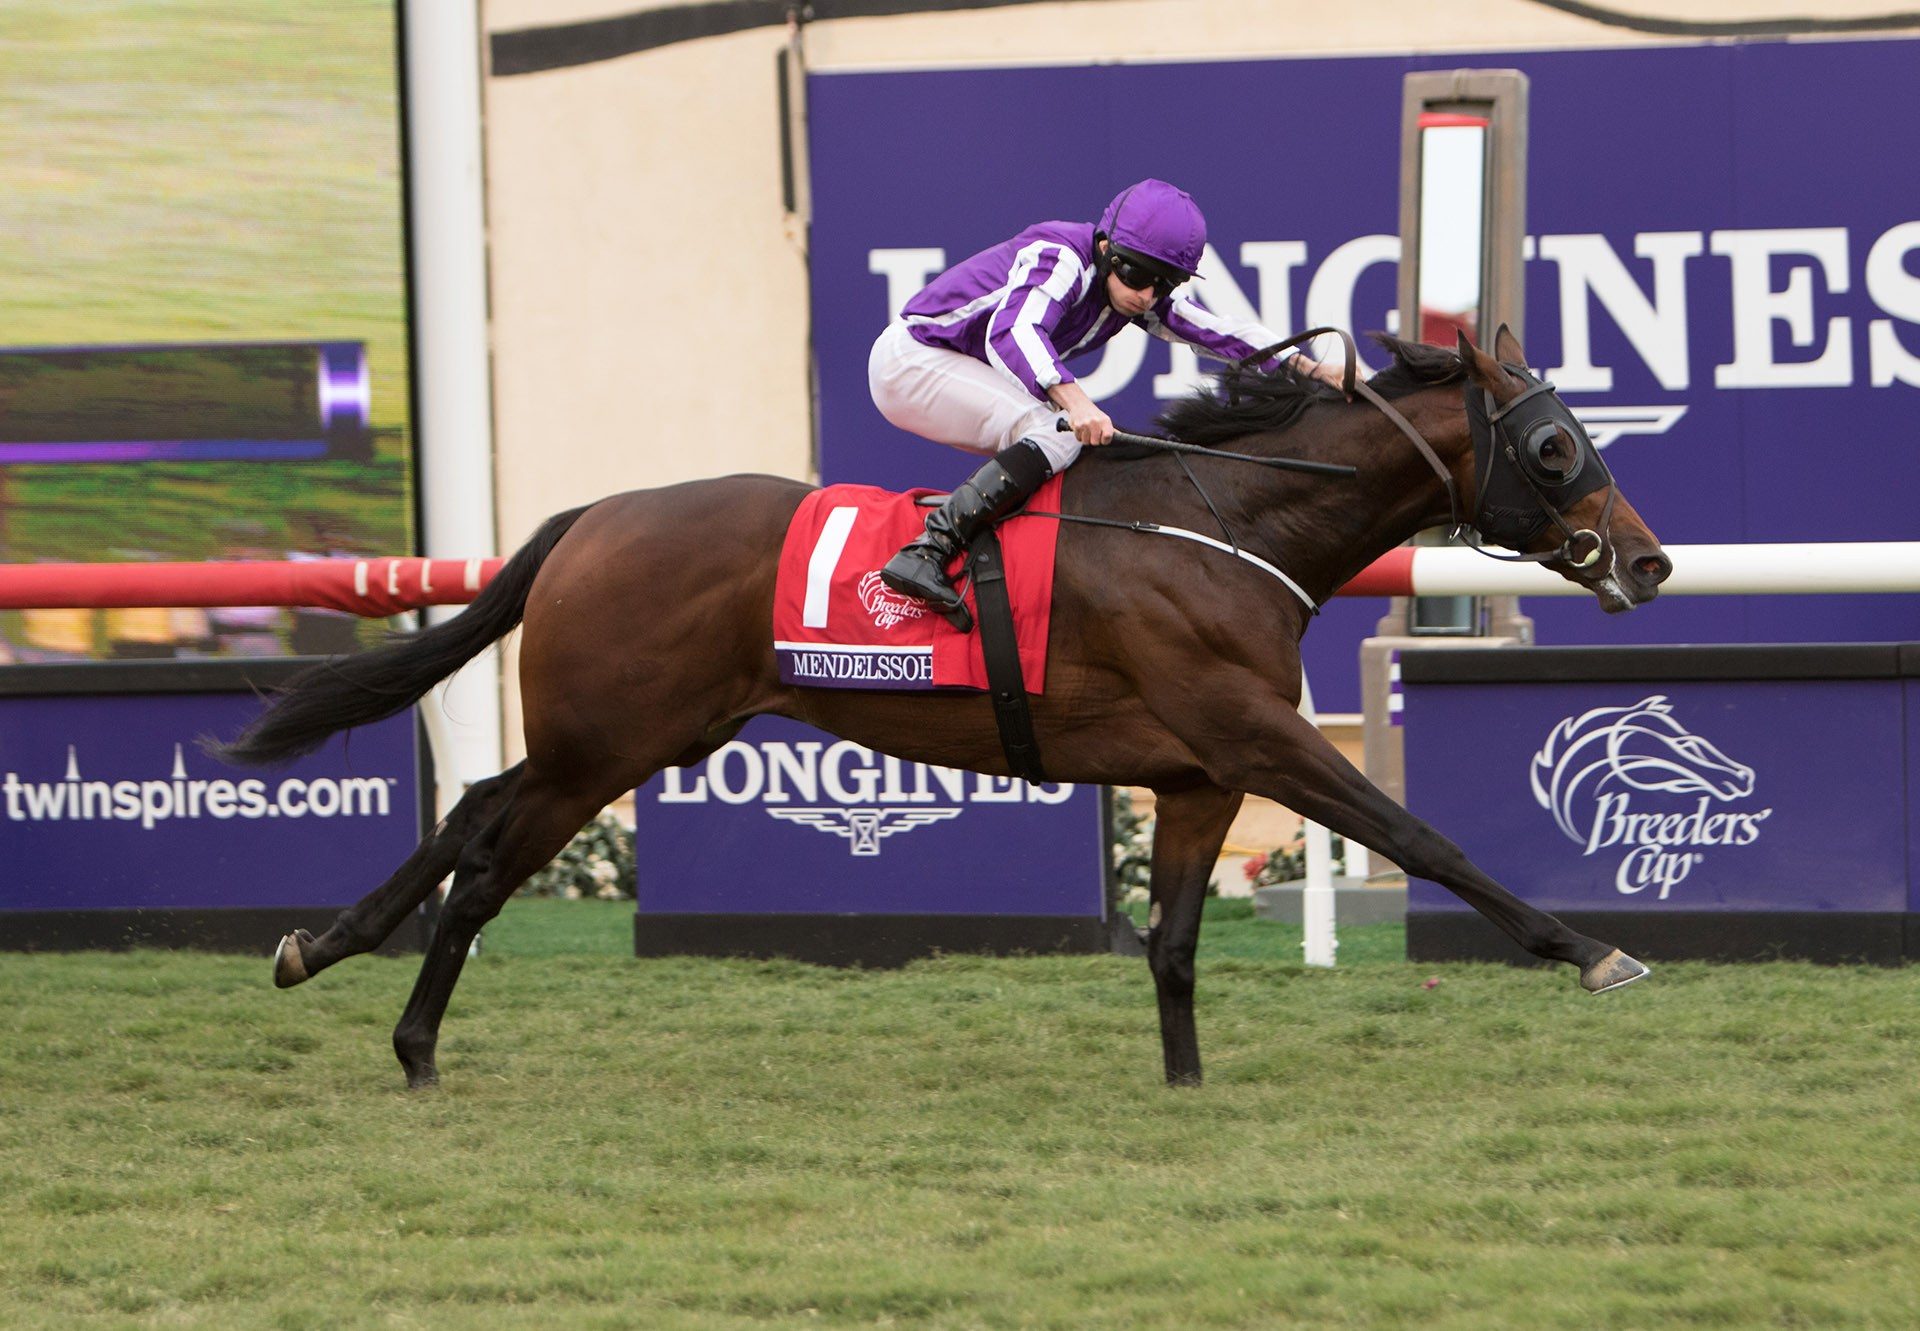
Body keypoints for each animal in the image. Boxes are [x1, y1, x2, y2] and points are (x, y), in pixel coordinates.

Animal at [217, 326, 1674, 1083]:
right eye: (1557, 445)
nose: (1651, 560)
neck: (1223, 518)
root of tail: (588, 518)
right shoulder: (1256, 734)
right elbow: (1425, 836)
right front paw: (1591, 948)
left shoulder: (1200, 770)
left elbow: (1174, 943)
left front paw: (1186, 1084)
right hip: (607, 743)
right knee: (485, 859)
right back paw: (410, 1040)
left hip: (641, 729)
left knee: (471, 805)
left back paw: (321, 946)